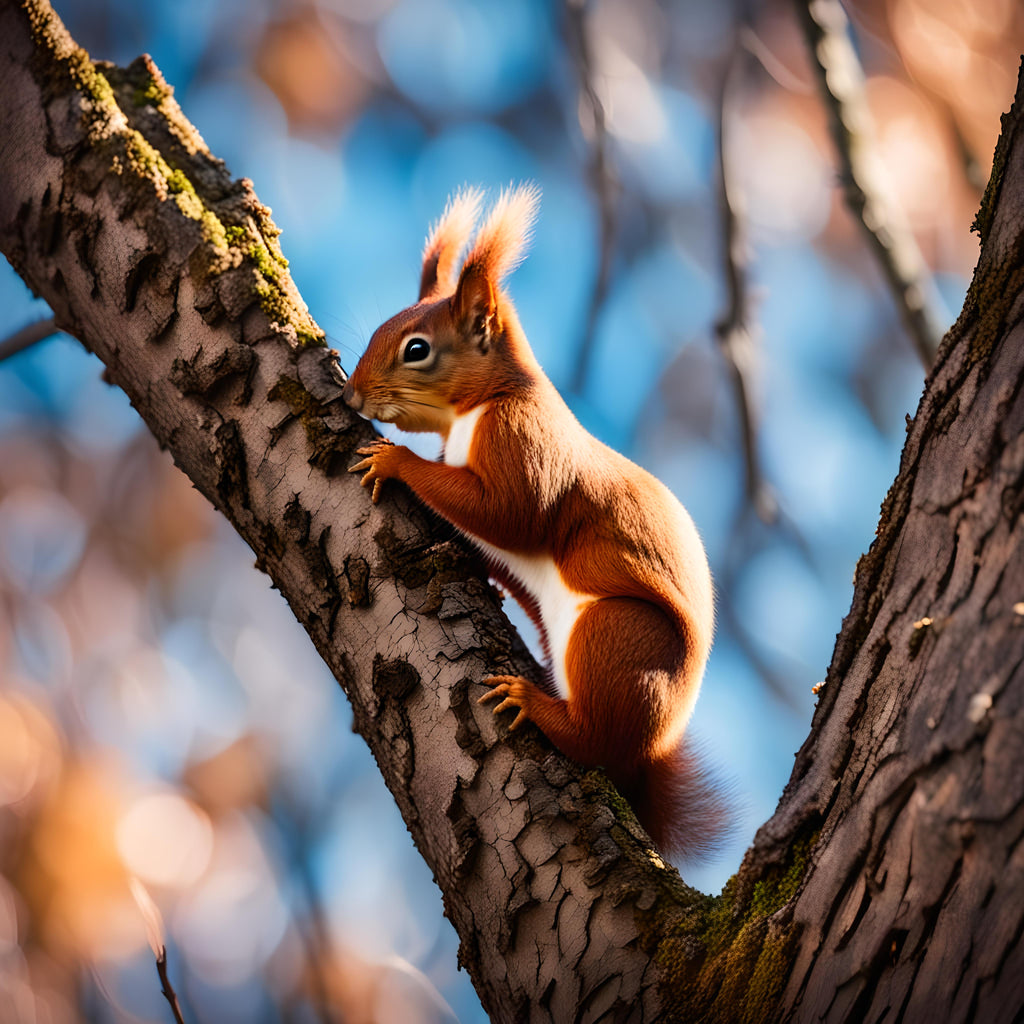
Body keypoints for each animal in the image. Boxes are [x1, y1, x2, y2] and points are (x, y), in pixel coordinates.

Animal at [344, 185, 728, 860]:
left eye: (417, 349)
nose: (353, 397)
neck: (478, 407)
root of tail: (651, 752)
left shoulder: (523, 444)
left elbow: (508, 515)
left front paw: (394, 459)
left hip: (616, 639)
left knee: (594, 743)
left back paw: (529, 700)